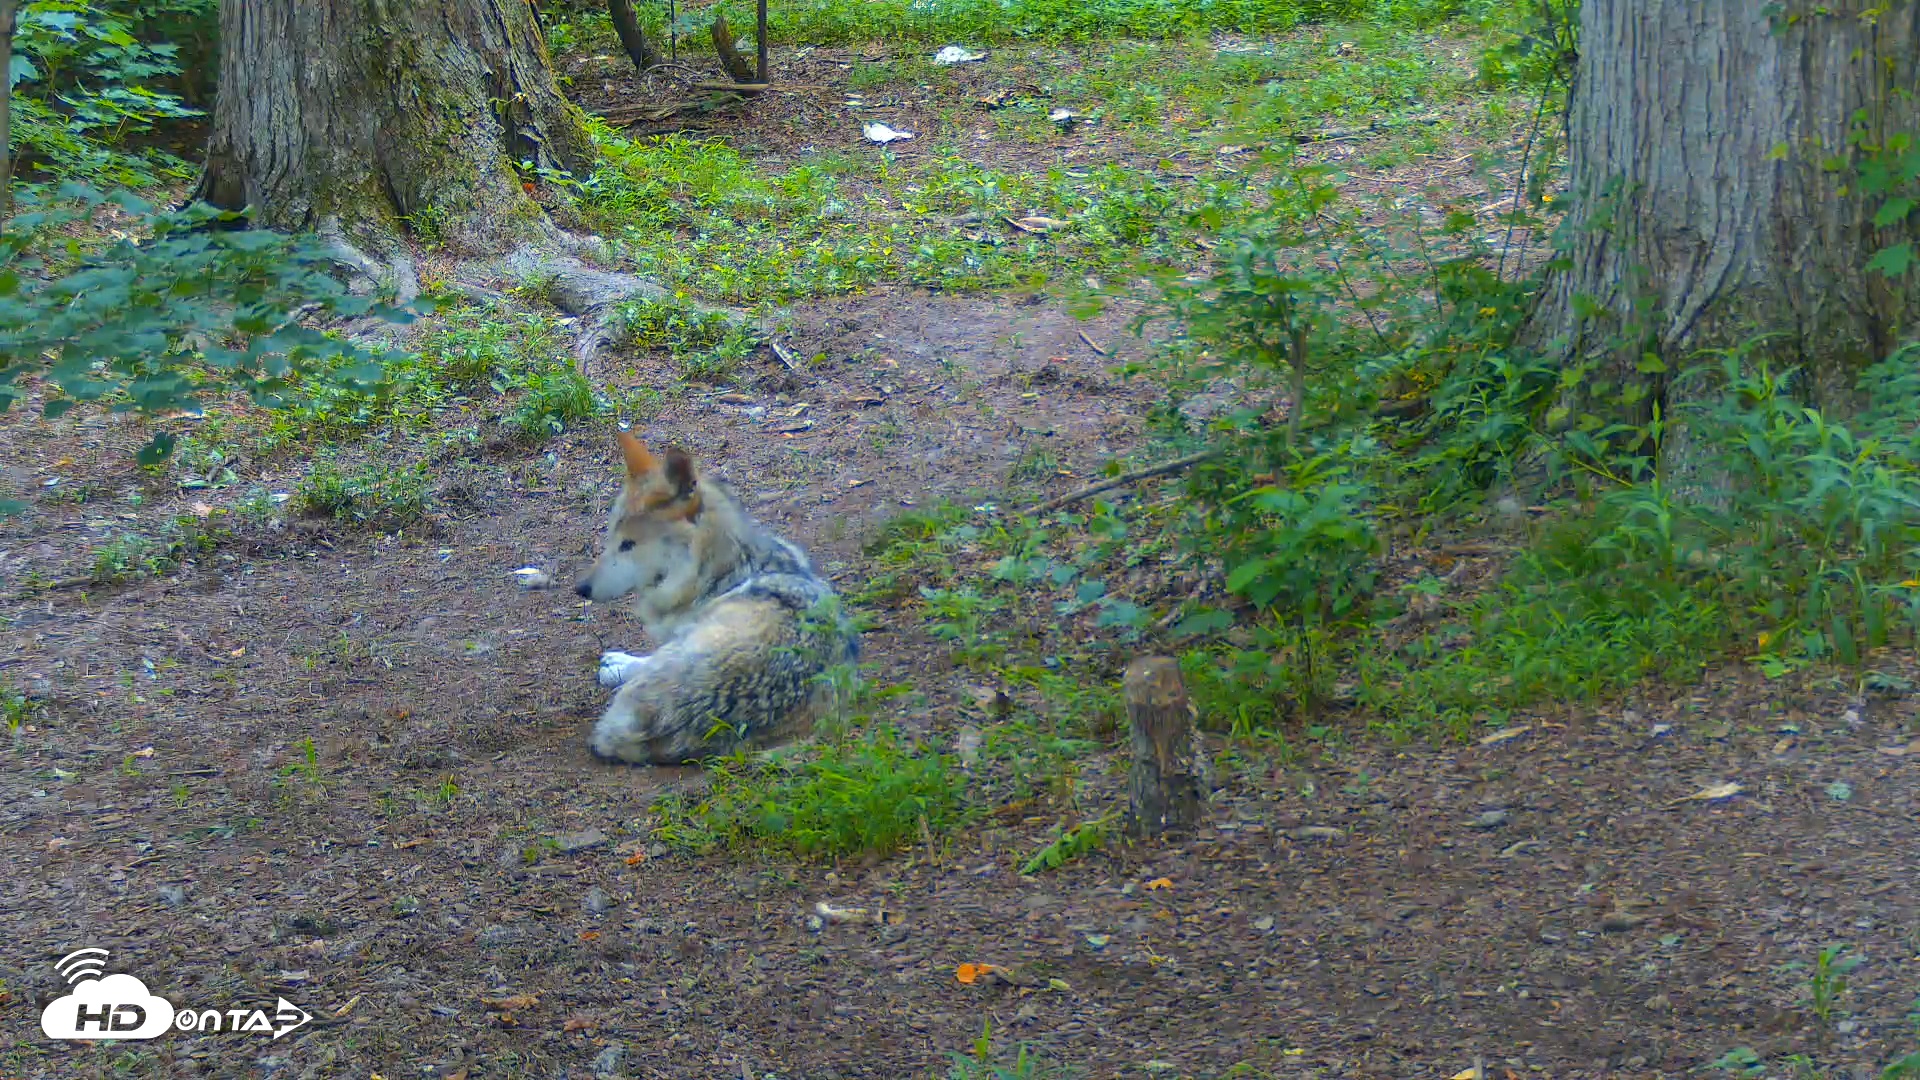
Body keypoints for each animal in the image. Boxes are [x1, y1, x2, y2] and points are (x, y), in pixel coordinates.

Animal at [573, 430, 860, 765]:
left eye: (628, 544)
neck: (725, 570)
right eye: (611, 540)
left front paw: (617, 665)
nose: (581, 588)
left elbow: (643, 661)